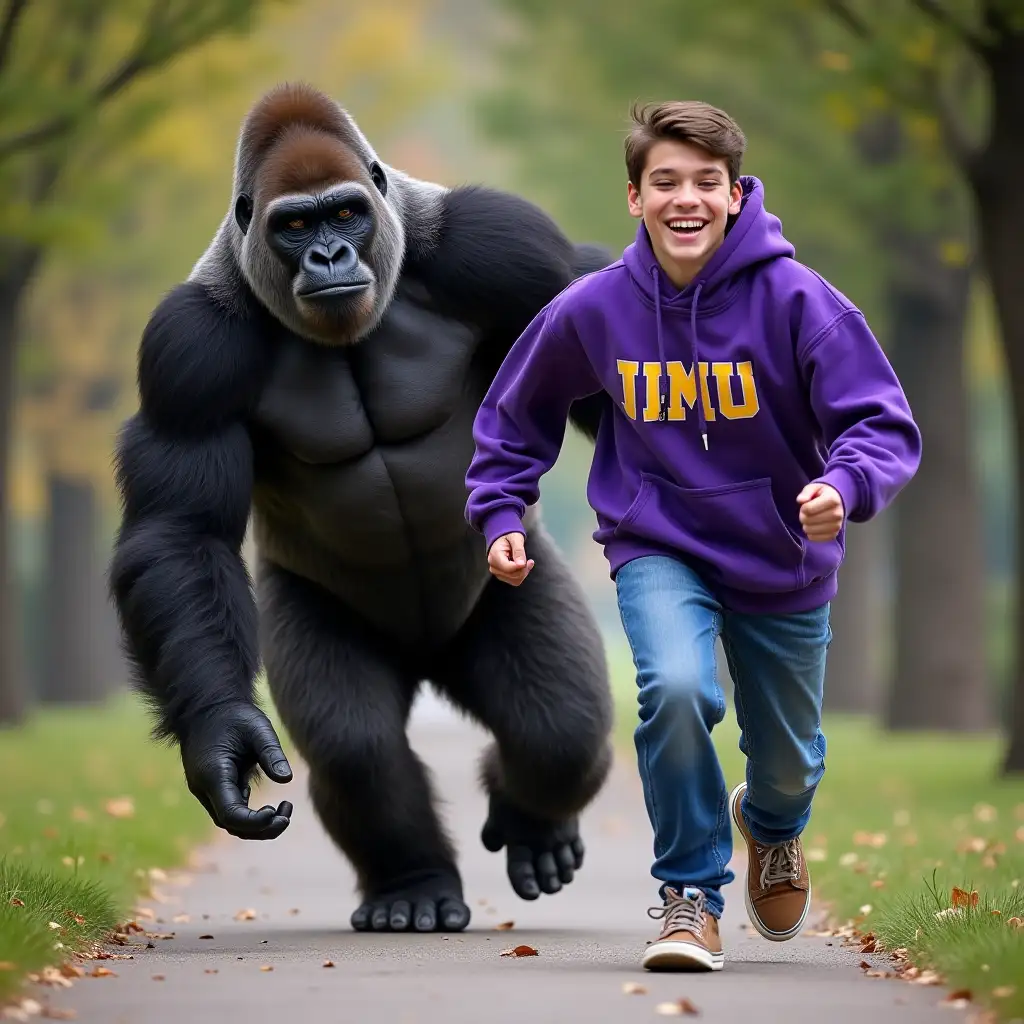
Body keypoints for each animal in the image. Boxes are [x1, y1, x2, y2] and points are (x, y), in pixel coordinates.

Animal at [108, 81, 610, 929]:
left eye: (344, 213)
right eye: (294, 225)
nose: (329, 257)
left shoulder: (507, 247)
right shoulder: (189, 347)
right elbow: (181, 534)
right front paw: (220, 739)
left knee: (558, 732)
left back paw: (534, 822)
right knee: (357, 746)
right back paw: (413, 885)